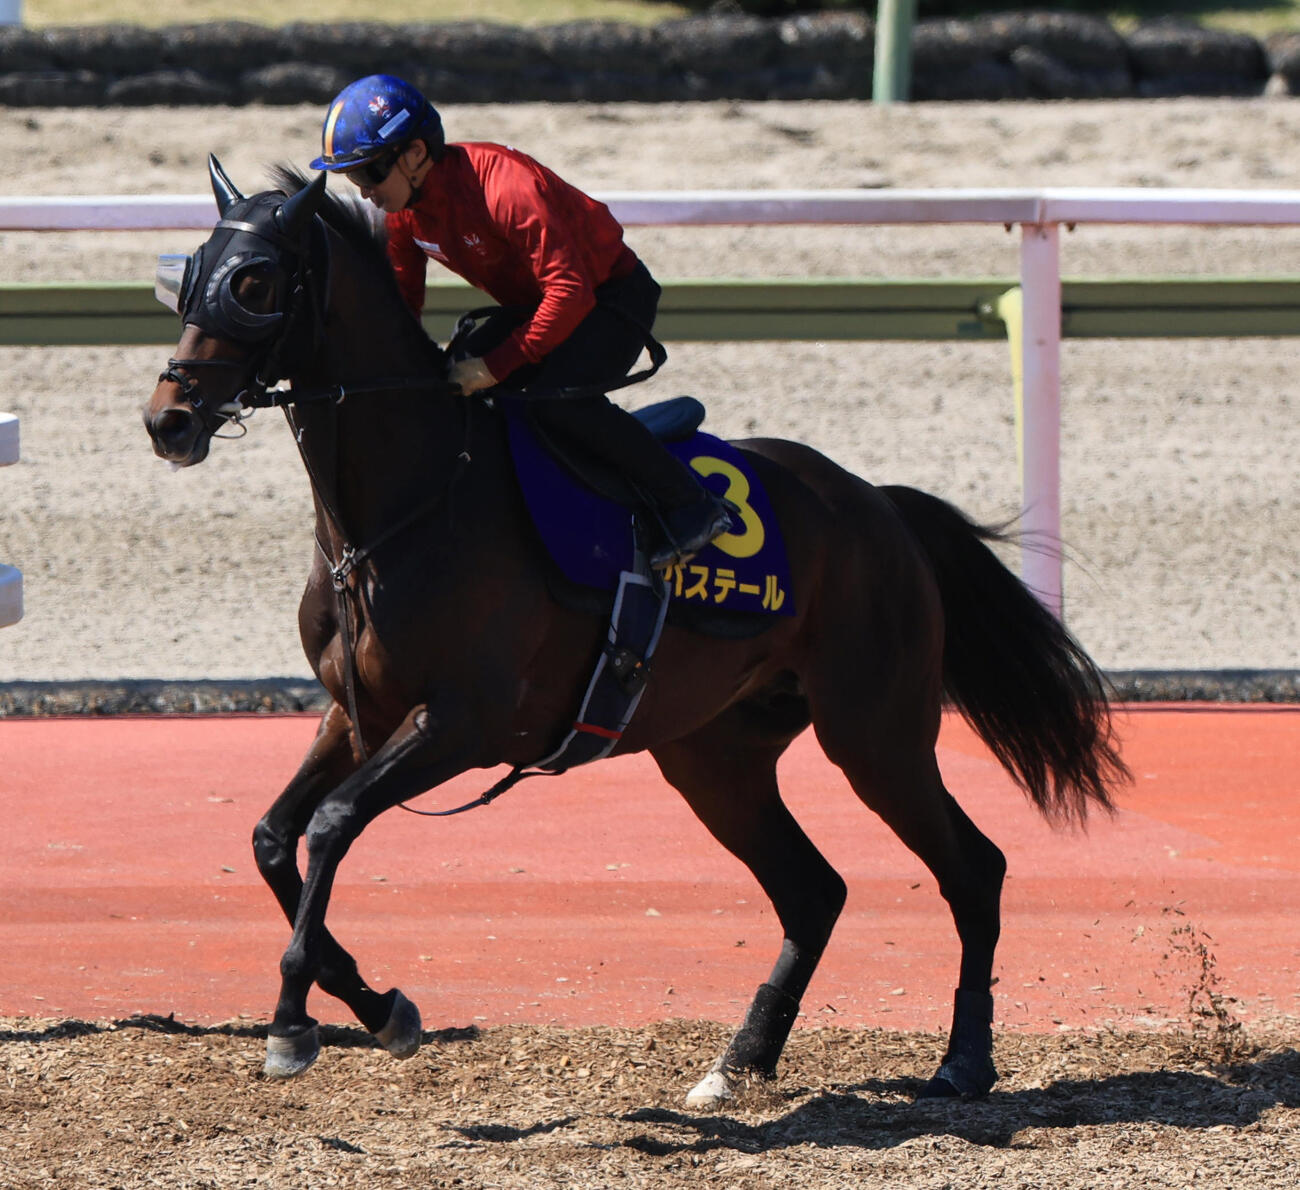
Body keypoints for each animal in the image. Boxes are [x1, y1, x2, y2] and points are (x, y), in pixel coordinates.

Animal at [143, 157, 1130, 1106]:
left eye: (256, 282)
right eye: (186, 276)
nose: (168, 419)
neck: (407, 506)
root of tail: (879, 507)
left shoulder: (462, 722)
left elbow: (334, 822)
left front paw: (293, 1022)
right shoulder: (361, 713)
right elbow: (275, 838)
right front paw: (378, 1006)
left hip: (875, 733)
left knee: (973, 868)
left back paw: (964, 1060)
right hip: (715, 753)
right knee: (814, 890)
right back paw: (739, 1061)